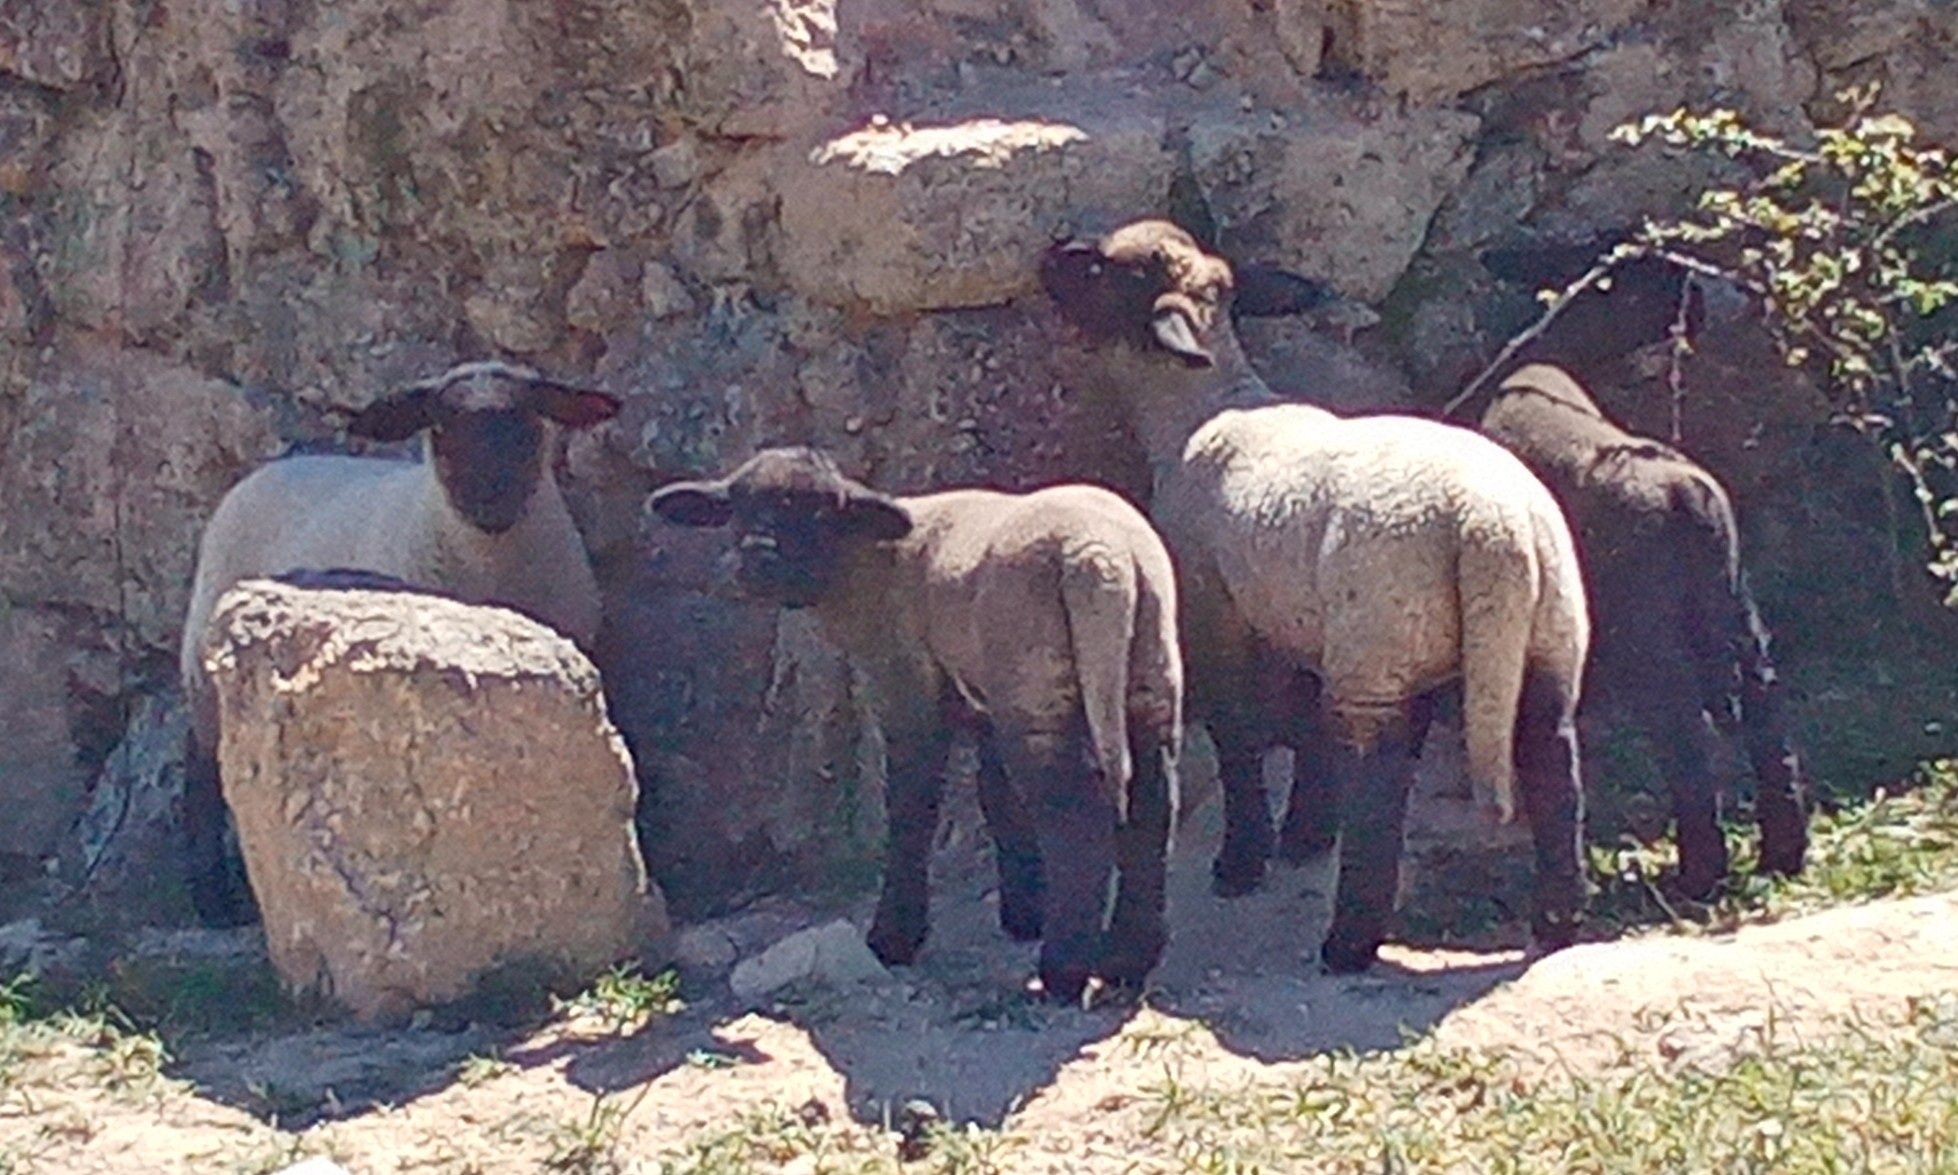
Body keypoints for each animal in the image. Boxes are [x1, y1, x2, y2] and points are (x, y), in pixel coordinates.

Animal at [179, 358, 618, 928]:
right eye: (441, 427)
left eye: (529, 422)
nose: (491, 500)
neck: (490, 565)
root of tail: (269, 470)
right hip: (203, 661)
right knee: (200, 767)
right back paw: (213, 902)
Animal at [650, 444, 1182, 994]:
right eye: (738, 508)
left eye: (818, 512)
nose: (758, 559)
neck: (867, 560)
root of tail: (1102, 560)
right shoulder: (982, 695)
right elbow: (998, 798)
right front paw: (1023, 911)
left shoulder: (906, 684)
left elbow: (912, 805)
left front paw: (894, 936)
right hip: (1146, 671)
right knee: (1153, 807)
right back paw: (1127, 959)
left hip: (1036, 682)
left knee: (1075, 818)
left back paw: (1064, 969)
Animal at [1041, 220, 1589, 971]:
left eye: (1104, 271)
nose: (1050, 255)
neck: (1200, 412)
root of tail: (1493, 530)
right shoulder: (1297, 618)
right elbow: (1304, 725)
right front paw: (1305, 831)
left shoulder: (1218, 614)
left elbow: (1240, 734)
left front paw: (1244, 858)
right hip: (1545, 629)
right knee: (1552, 757)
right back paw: (1557, 923)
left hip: (1380, 637)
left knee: (1379, 783)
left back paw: (1349, 939)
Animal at [1472, 362, 1809, 896]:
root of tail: (1686, 492)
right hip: (1733, 590)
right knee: (1762, 695)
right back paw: (1781, 856)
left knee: (1681, 723)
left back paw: (1699, 875)